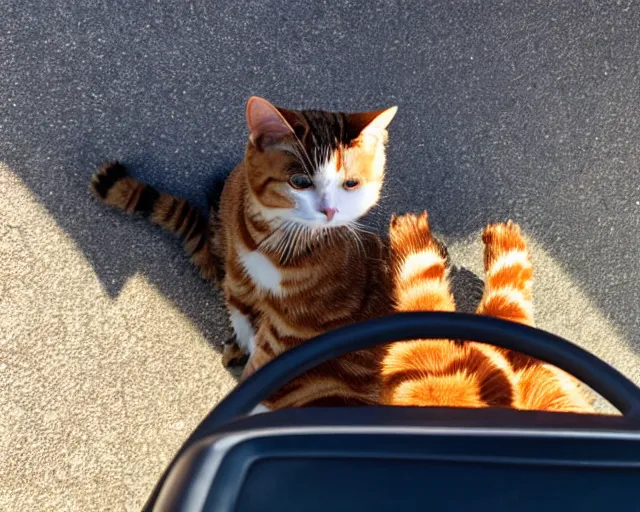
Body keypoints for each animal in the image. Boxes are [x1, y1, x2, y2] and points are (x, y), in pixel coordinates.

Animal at [89, 95, 400, 408]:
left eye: (351, 184)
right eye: (300, 182)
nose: (330, 211)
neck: (272, 239)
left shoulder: (290, 330)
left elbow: (263, 361)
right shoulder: (238, 268)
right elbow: (239, 309)